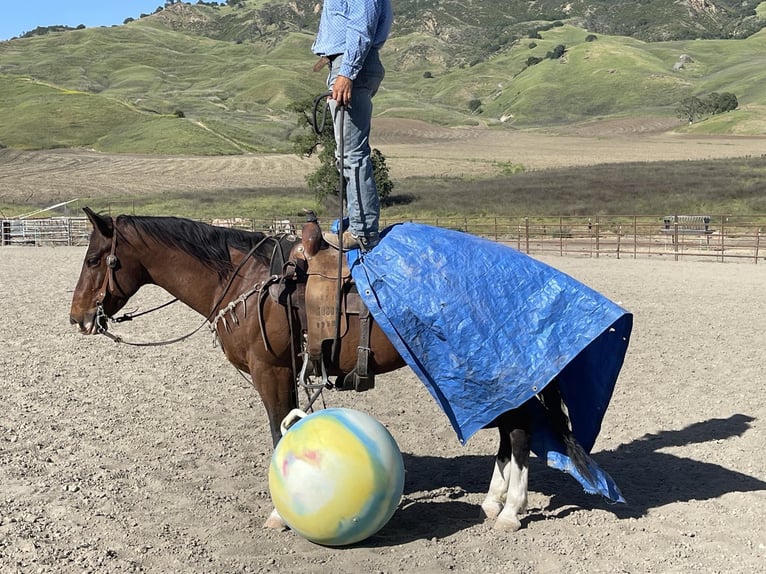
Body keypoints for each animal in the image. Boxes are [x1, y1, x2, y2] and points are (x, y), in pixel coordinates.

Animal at [69, 208, 596, 536]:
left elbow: (278, 433)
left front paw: (280, 514)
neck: (244, 283)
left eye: (94, 258)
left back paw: (510, 512)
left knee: (520, 433)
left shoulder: (272, 372)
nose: (77, 318)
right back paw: (493, 502)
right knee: (508, 431)